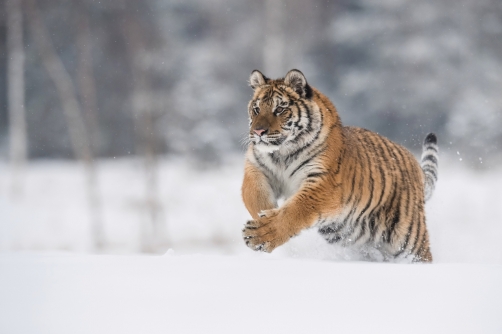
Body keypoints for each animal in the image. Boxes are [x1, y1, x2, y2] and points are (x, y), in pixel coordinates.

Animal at [241, 69, 438, 262]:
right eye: (256, 109)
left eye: (280, 109)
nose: (258, 132)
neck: (282, 153)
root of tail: (414, 163)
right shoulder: (256, 169)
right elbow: (256, 198)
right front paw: (264, 216)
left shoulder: (323, 183)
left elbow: (295, 210)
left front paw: (260, 234)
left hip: (408, 241)